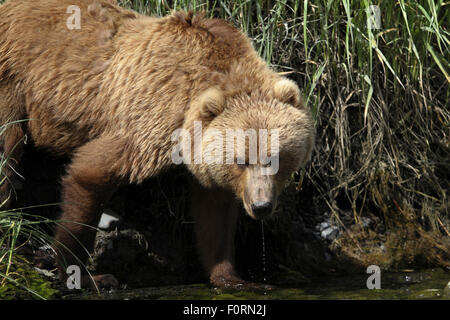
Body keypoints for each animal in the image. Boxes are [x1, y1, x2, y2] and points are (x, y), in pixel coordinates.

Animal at [0, 0, 314, 290]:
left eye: (275, 158)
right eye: (241, 160)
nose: (261, 206)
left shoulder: (205, 155)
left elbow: (215, 213)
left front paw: (234, 278)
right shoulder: (150, 116)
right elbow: (91, 172)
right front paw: (86, 275)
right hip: (13, 85)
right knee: (8, 150)